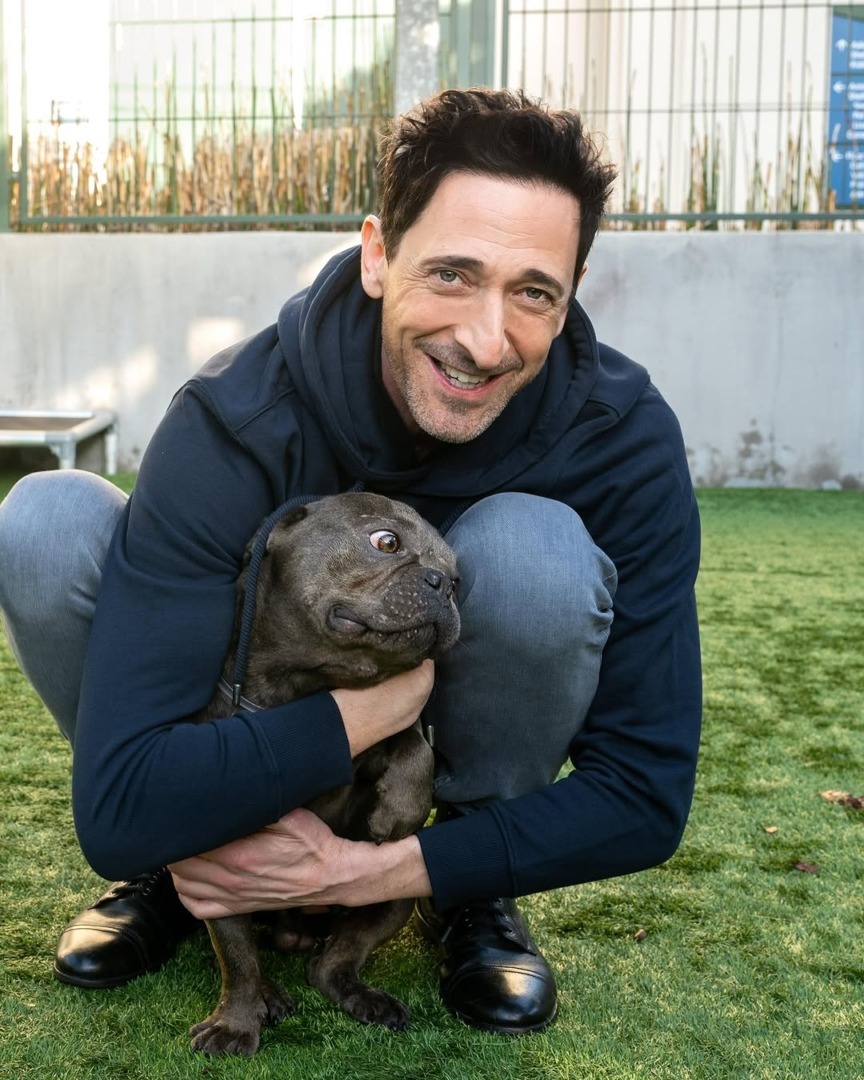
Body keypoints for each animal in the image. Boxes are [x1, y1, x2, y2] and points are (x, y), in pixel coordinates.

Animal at [188, 492, 460, 1057]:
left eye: (458, 575)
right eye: (386, 541)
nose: (445, 584)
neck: (309, 687)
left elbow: (412, 744)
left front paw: (400, 810)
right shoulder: (219, 868)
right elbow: (237, 958)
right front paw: (235, 1024)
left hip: (395, 898)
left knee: (333, 962)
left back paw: (362, 996)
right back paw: (269, 996)